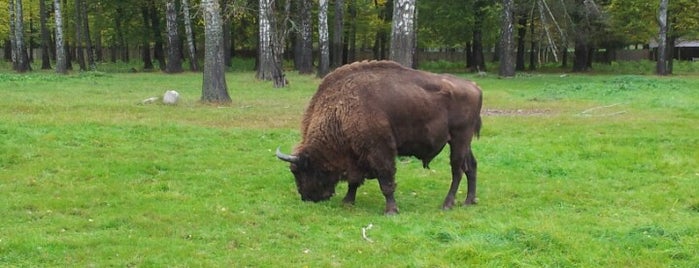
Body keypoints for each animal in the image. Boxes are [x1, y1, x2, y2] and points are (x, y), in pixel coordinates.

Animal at [276, 60, 484, 214]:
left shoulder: (380, 150)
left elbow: (386, 180)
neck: (340, 109)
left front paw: (391, 210)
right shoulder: (356, 154)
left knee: (457, 170)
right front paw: (347, 201)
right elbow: (354, 180)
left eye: (299, 171)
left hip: (459, 139)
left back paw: (447, 204)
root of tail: (475, 87)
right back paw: (469, 201)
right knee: (471, 166)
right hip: (463, 142)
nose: (306, 197)